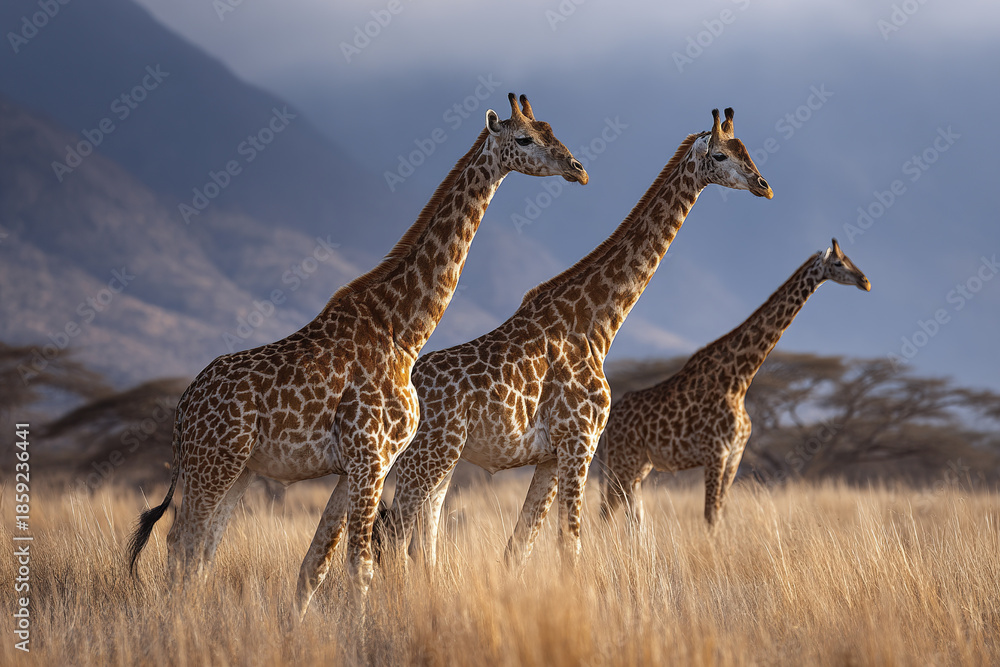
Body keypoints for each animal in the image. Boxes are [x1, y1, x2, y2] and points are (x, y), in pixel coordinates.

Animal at [126, 93, 589, 620]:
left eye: (552, 128)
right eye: (524, 138)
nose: (577, 169)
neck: (402, 330)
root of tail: (183, 409)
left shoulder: (361, 465)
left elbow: (317, 564)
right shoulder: (371, 456)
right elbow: (361, 567)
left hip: (238, 470)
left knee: (201, 551)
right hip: (213, 465)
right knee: (180, 545)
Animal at [376, 107, 772, 570]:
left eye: (747, 150)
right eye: (722, 154)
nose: (764, 185)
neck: (597, 324)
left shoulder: (552, 455)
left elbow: (520, 546)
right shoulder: (580, 440)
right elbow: (570, 543)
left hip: (442, 461)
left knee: (420, 540)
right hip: (427, 456)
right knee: (394, 538)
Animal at [600, 239, 870, 529]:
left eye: (849, 259)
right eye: (839, 263)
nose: (865, 282)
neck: (738, 381)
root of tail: (609, 424)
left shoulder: (735, 456)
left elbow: (719, 512)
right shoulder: (716, 453)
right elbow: (710, 515)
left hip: (639, 464)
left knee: (631, 512)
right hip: (623, 460)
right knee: (609, 509)